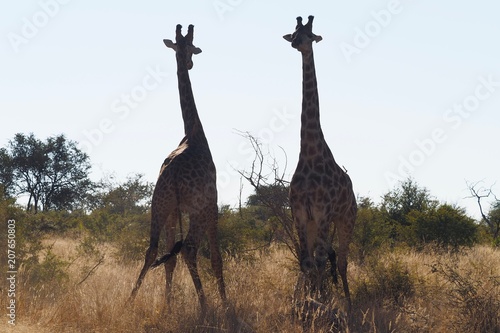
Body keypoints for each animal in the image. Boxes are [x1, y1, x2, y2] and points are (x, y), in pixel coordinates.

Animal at [132, 24, 228, 314]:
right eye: (193, 48)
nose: (190, 62)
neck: (193, 133)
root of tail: (173, 176)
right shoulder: (212, 203)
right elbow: (216, 257)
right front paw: (226, 303)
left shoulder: (175, 209)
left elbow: (169, 258)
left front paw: (168, 303)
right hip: (196, 210)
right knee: (189, 249)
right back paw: (205, 305)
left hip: (159, 204)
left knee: (152, 249)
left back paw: (130, 300)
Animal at [284, 14, 358, 308]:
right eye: (294, 32)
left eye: (310, 35)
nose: (295, 44)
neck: (309, 154)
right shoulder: (301, 214)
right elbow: (306, 262)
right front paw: (306, 302)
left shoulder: (324, 213)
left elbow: (319, 261)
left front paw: (320, 302)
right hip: (316, 223)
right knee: (326, 257)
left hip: (347, 219)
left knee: (341, 261)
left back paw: (348, 301)